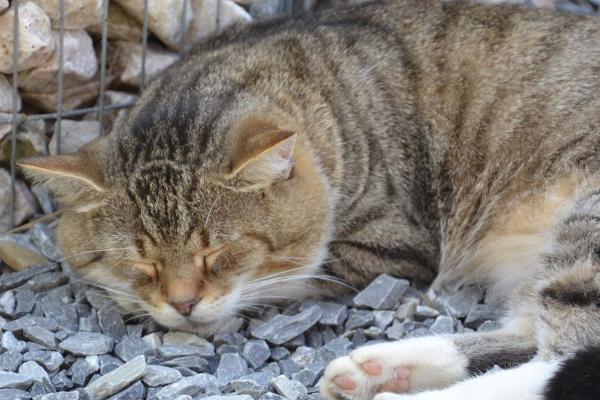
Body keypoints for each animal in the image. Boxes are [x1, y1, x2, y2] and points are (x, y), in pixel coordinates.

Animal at [16, 0, 600, 398]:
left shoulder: (391, 245)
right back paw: (382, 371)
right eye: (142, 263)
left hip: (585, 228)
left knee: (560, 354)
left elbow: (295, 272)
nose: (183, 304)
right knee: (530, 332)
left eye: (217, 253)